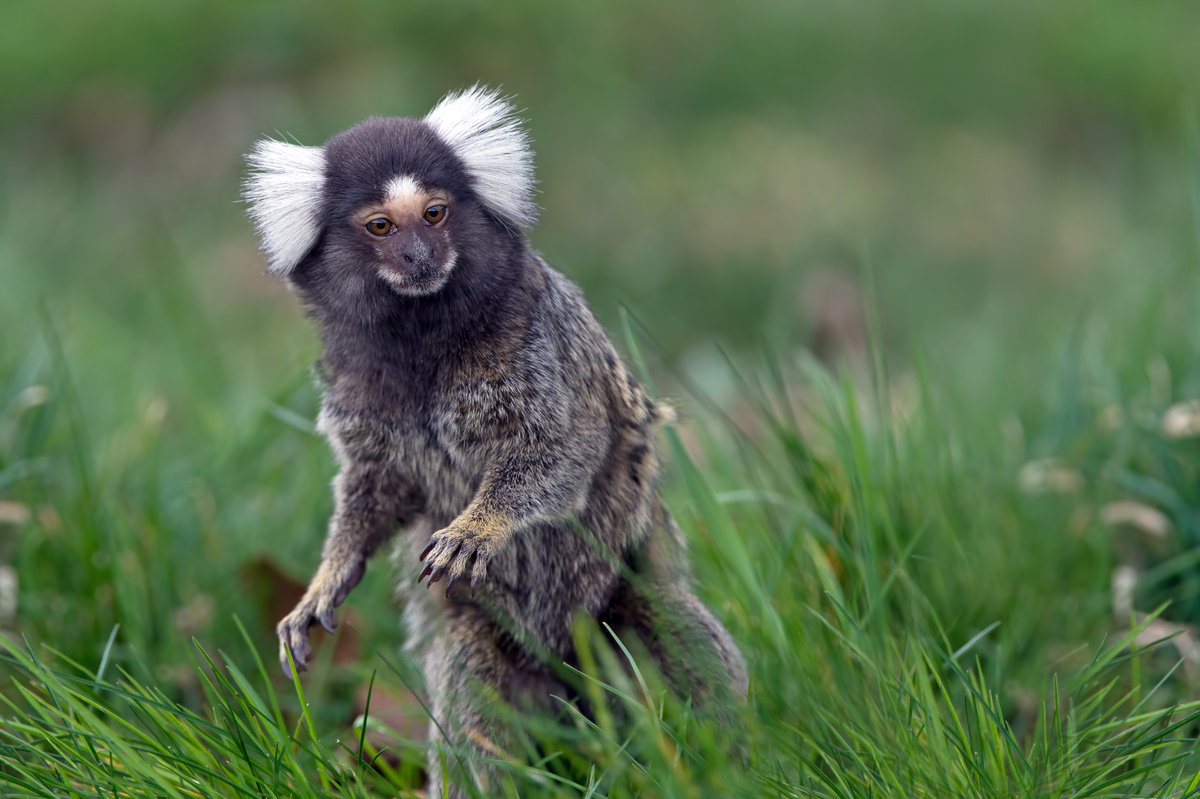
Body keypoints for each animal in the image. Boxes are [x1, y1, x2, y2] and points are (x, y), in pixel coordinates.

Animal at [243, 83, 744, 791]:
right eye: (381, 227)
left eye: (434, 213)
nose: (420, 258)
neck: (421, 335)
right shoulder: (355, 389)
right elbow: (378, 489)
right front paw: (325, 581)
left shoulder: (536, 341)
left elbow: (563, 451)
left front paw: (480, 527)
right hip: (493, 644)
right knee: (469, 692)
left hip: (618, 610)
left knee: (675, 624)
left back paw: (727, 762)